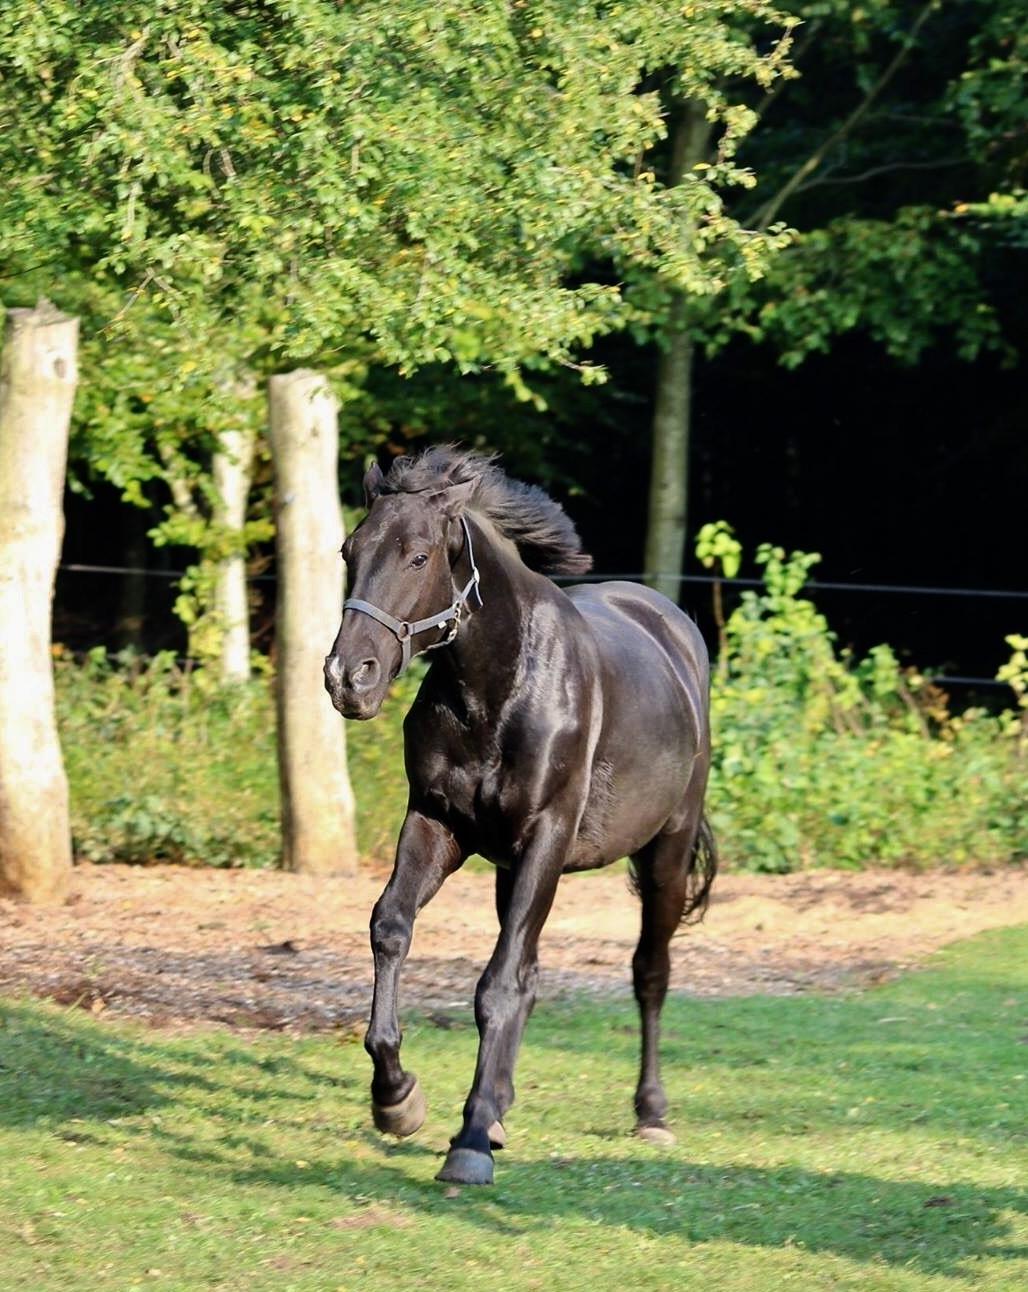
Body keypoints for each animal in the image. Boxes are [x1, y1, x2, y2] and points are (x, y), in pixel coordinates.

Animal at [325, 449, 712, 1183]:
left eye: (418, 557)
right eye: (347, 551)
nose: (348, 678)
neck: (499, 690)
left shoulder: (545, 840)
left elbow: (499, 984)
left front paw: (470, 1142)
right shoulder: (436, 824)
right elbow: (392, 928)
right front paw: (397, 1098)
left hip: (666, 854)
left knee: (649, 972)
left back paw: (651, 1112)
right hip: (512, 870)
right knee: (532, 969)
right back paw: (500, 1104)